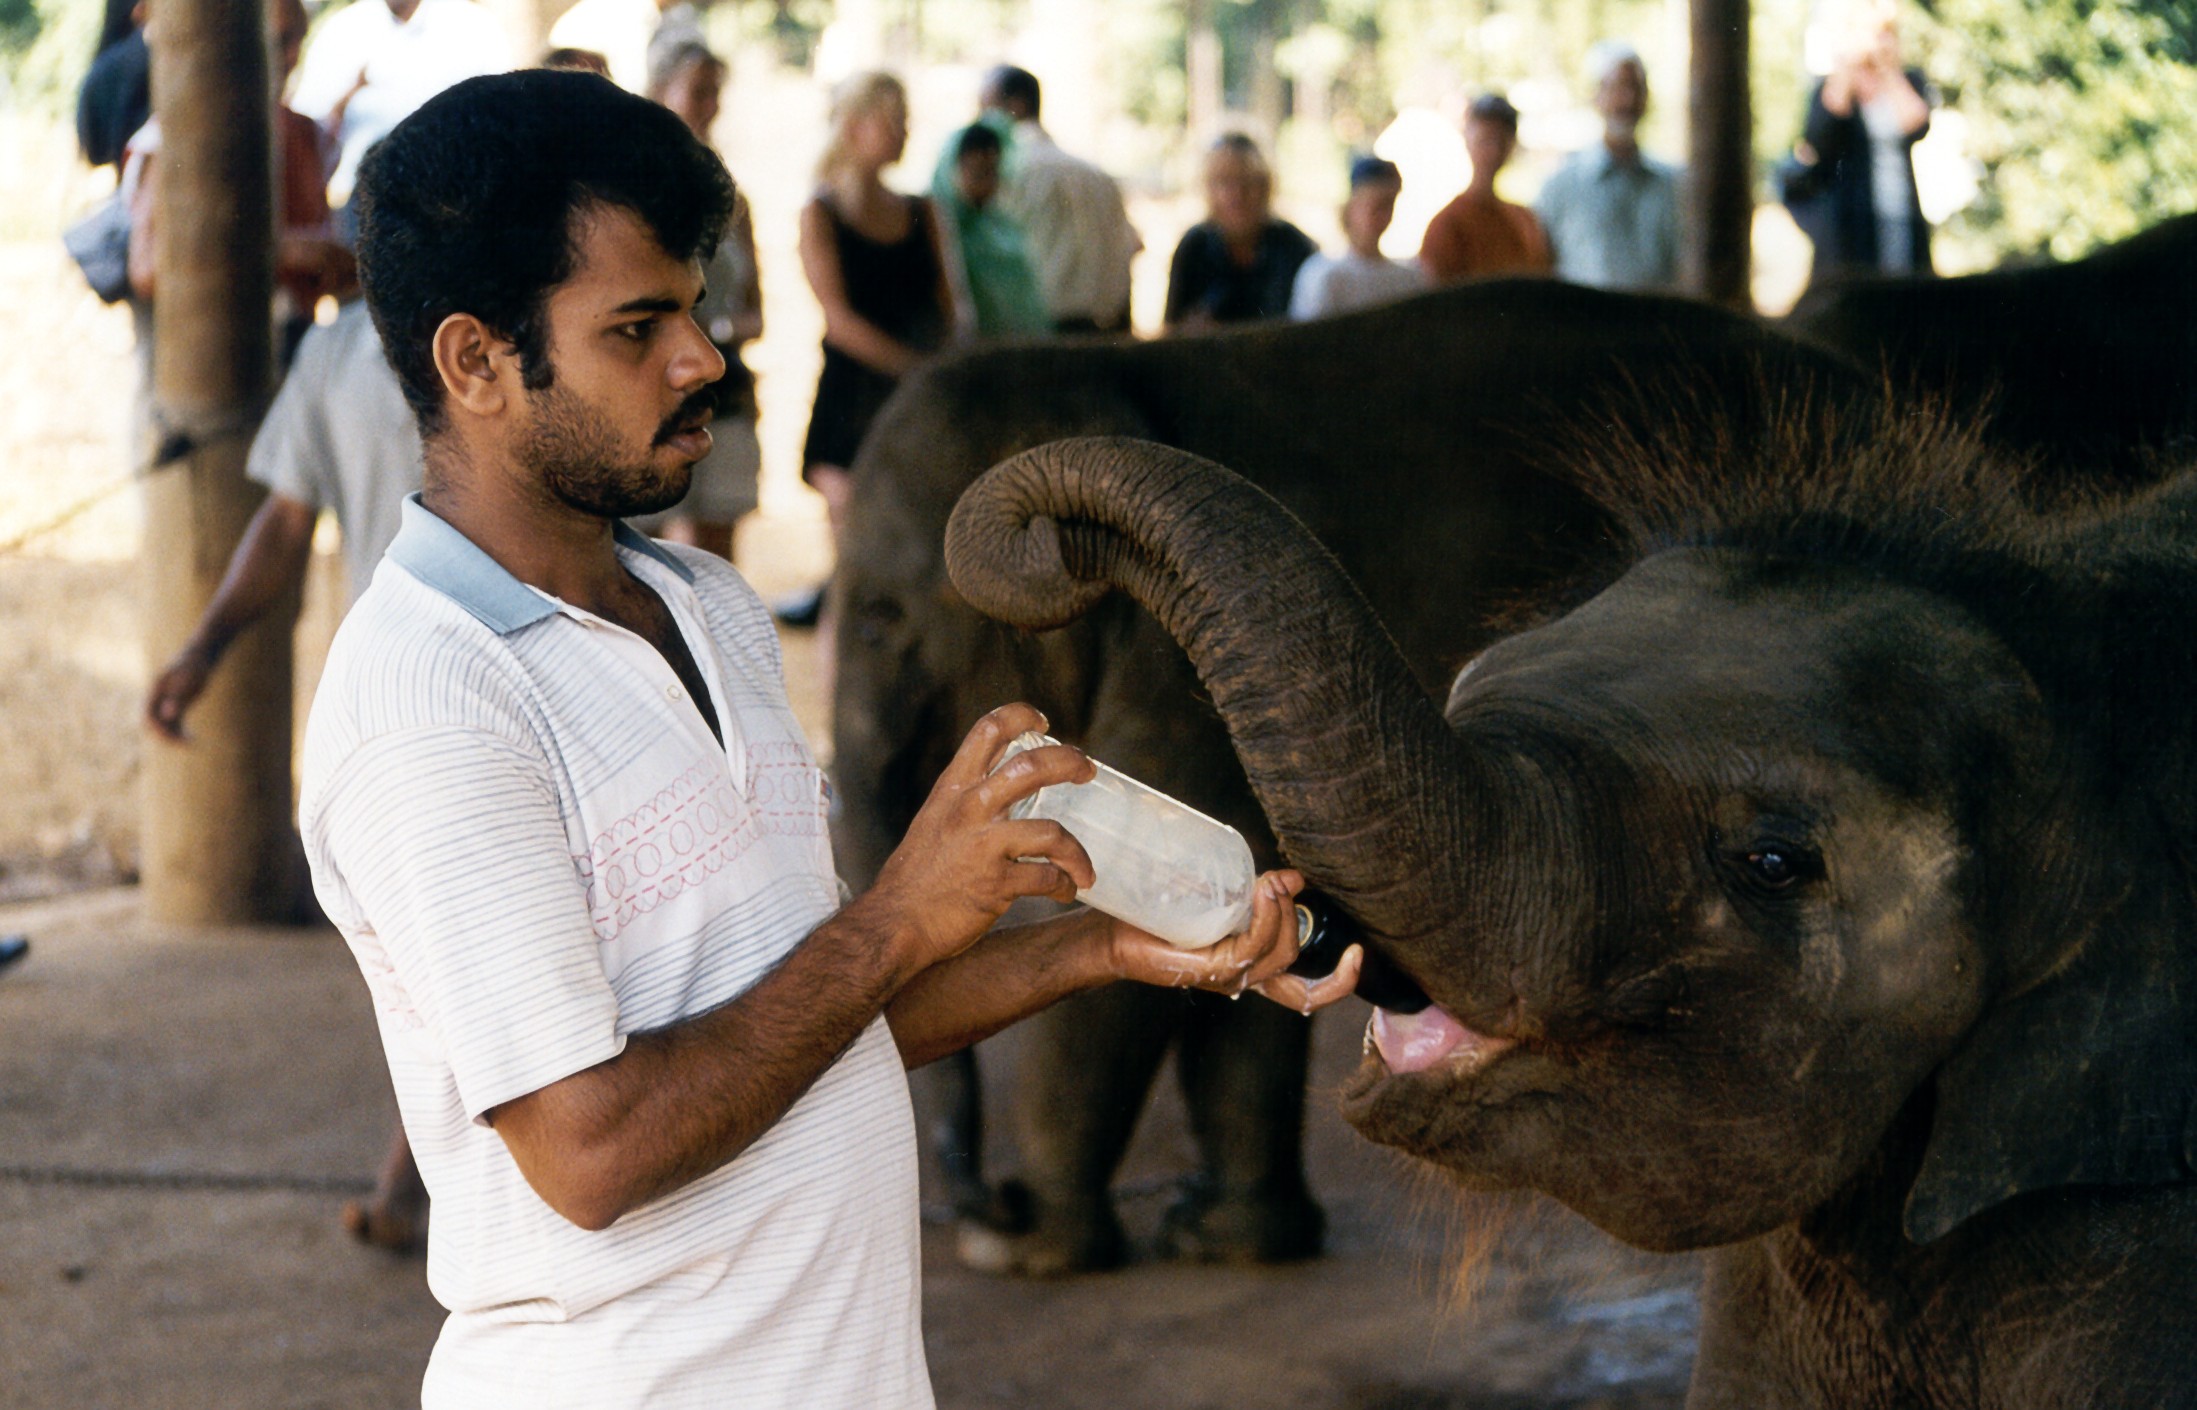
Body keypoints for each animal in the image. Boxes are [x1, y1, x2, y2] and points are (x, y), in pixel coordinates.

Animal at [829, 279, 1876, 1273]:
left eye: (879, 619)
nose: (988, 1205)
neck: (1108, 361)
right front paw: (1229, 1241)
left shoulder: (1167, 680)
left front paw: (1030, 1255)